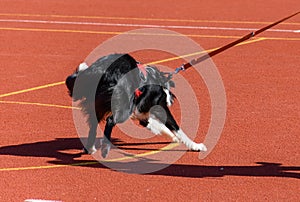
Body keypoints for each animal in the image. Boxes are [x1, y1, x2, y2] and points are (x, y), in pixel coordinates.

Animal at [65, 53, 206, 158]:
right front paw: (195, 145)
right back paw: (105, 148)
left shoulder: (141, 112)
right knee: (110, 120)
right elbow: (177, 128)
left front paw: (172, 137)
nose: (170, 101)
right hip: (124, 107)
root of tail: (100, 71)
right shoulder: (157, 106)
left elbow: (153, 124)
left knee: (93, 125)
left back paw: (89, 148)